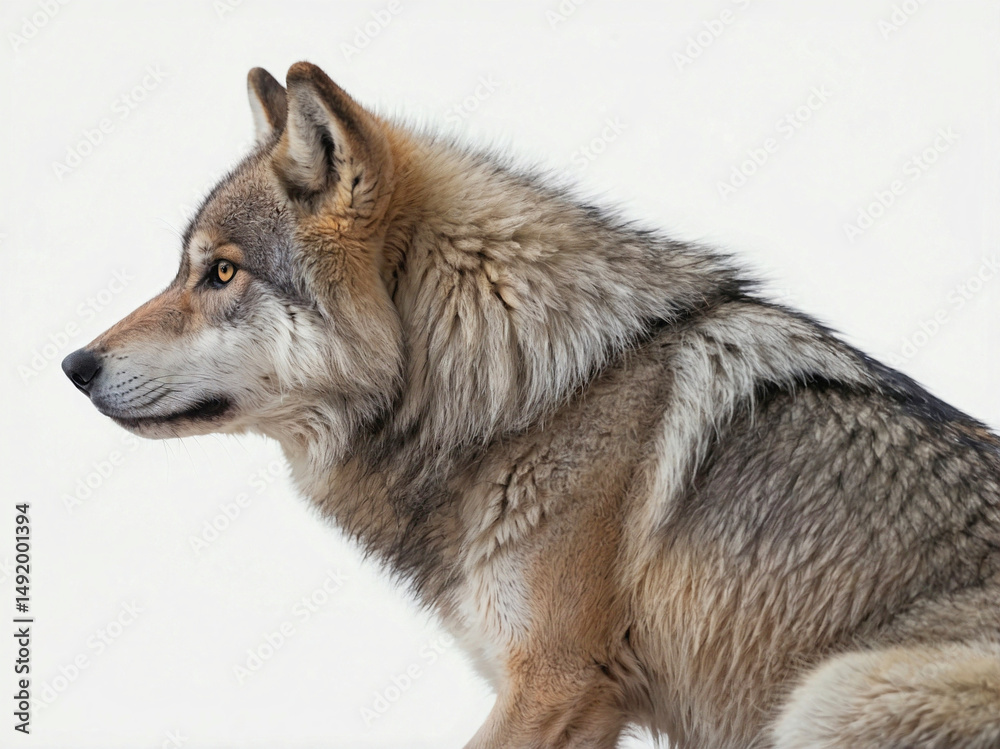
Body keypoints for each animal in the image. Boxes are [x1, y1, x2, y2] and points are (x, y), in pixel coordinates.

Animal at [61, 62, 1000, 748]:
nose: (73, 365)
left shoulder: (556, 681)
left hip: (829, 693)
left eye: (221, 272)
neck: (527, 390)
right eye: (187, 268)